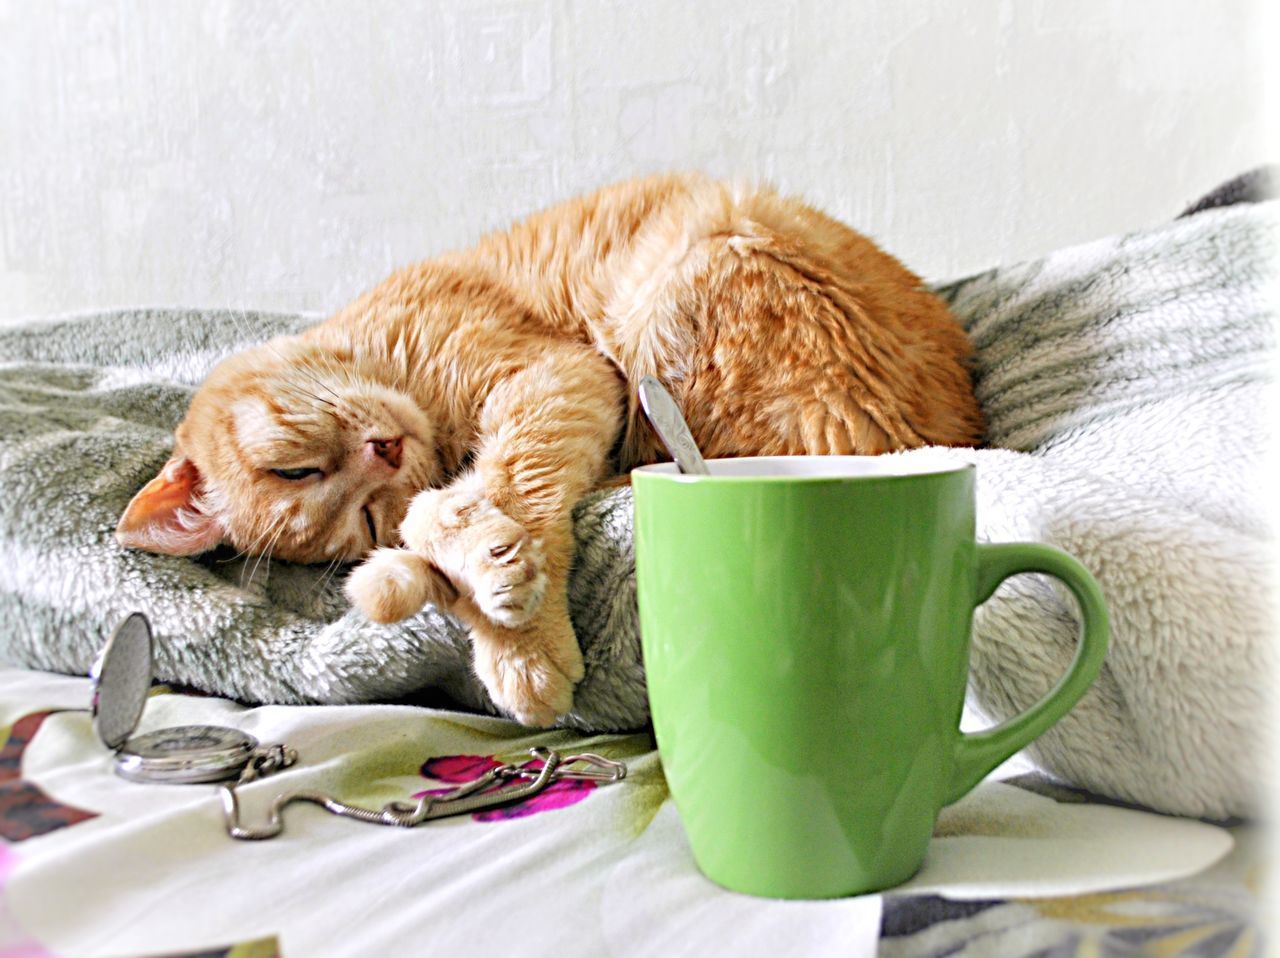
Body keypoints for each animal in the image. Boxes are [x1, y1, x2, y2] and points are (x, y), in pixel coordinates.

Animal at [115, 171, 983, 727]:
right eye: (358, 517)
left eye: (293, 465)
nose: (386, 452)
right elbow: (449, 520)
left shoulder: (558, 375)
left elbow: (509, 481)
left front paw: (520, 639)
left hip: (690, 277)